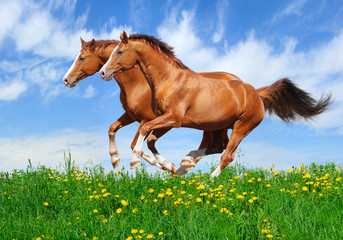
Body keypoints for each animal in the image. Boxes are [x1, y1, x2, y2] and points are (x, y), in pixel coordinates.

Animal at [62, 37, 245, 173]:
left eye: (82, 58)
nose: (66, 80)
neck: (138, 82)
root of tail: (243, 84)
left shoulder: (149, 119)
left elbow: (135, 144)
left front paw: (167, 166)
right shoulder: (131, 116)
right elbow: (112, 128)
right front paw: (115, 159)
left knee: (218, 147)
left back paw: (185, 165)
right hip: (213, 125)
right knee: (218, 146)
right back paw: (186, 165)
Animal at [100, 31, 334, 177]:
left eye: (119, 52)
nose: (103, 72)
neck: (169, 79)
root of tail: (256, 93)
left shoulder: (173, 119)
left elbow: (143, 131)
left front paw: (133, 162)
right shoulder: (165, 120)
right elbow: (149, 138)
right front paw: (170, 166)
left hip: (242, 127)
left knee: (226, 155)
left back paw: (207, 181)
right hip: (217, 126)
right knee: (216, 147)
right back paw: (186, 162)